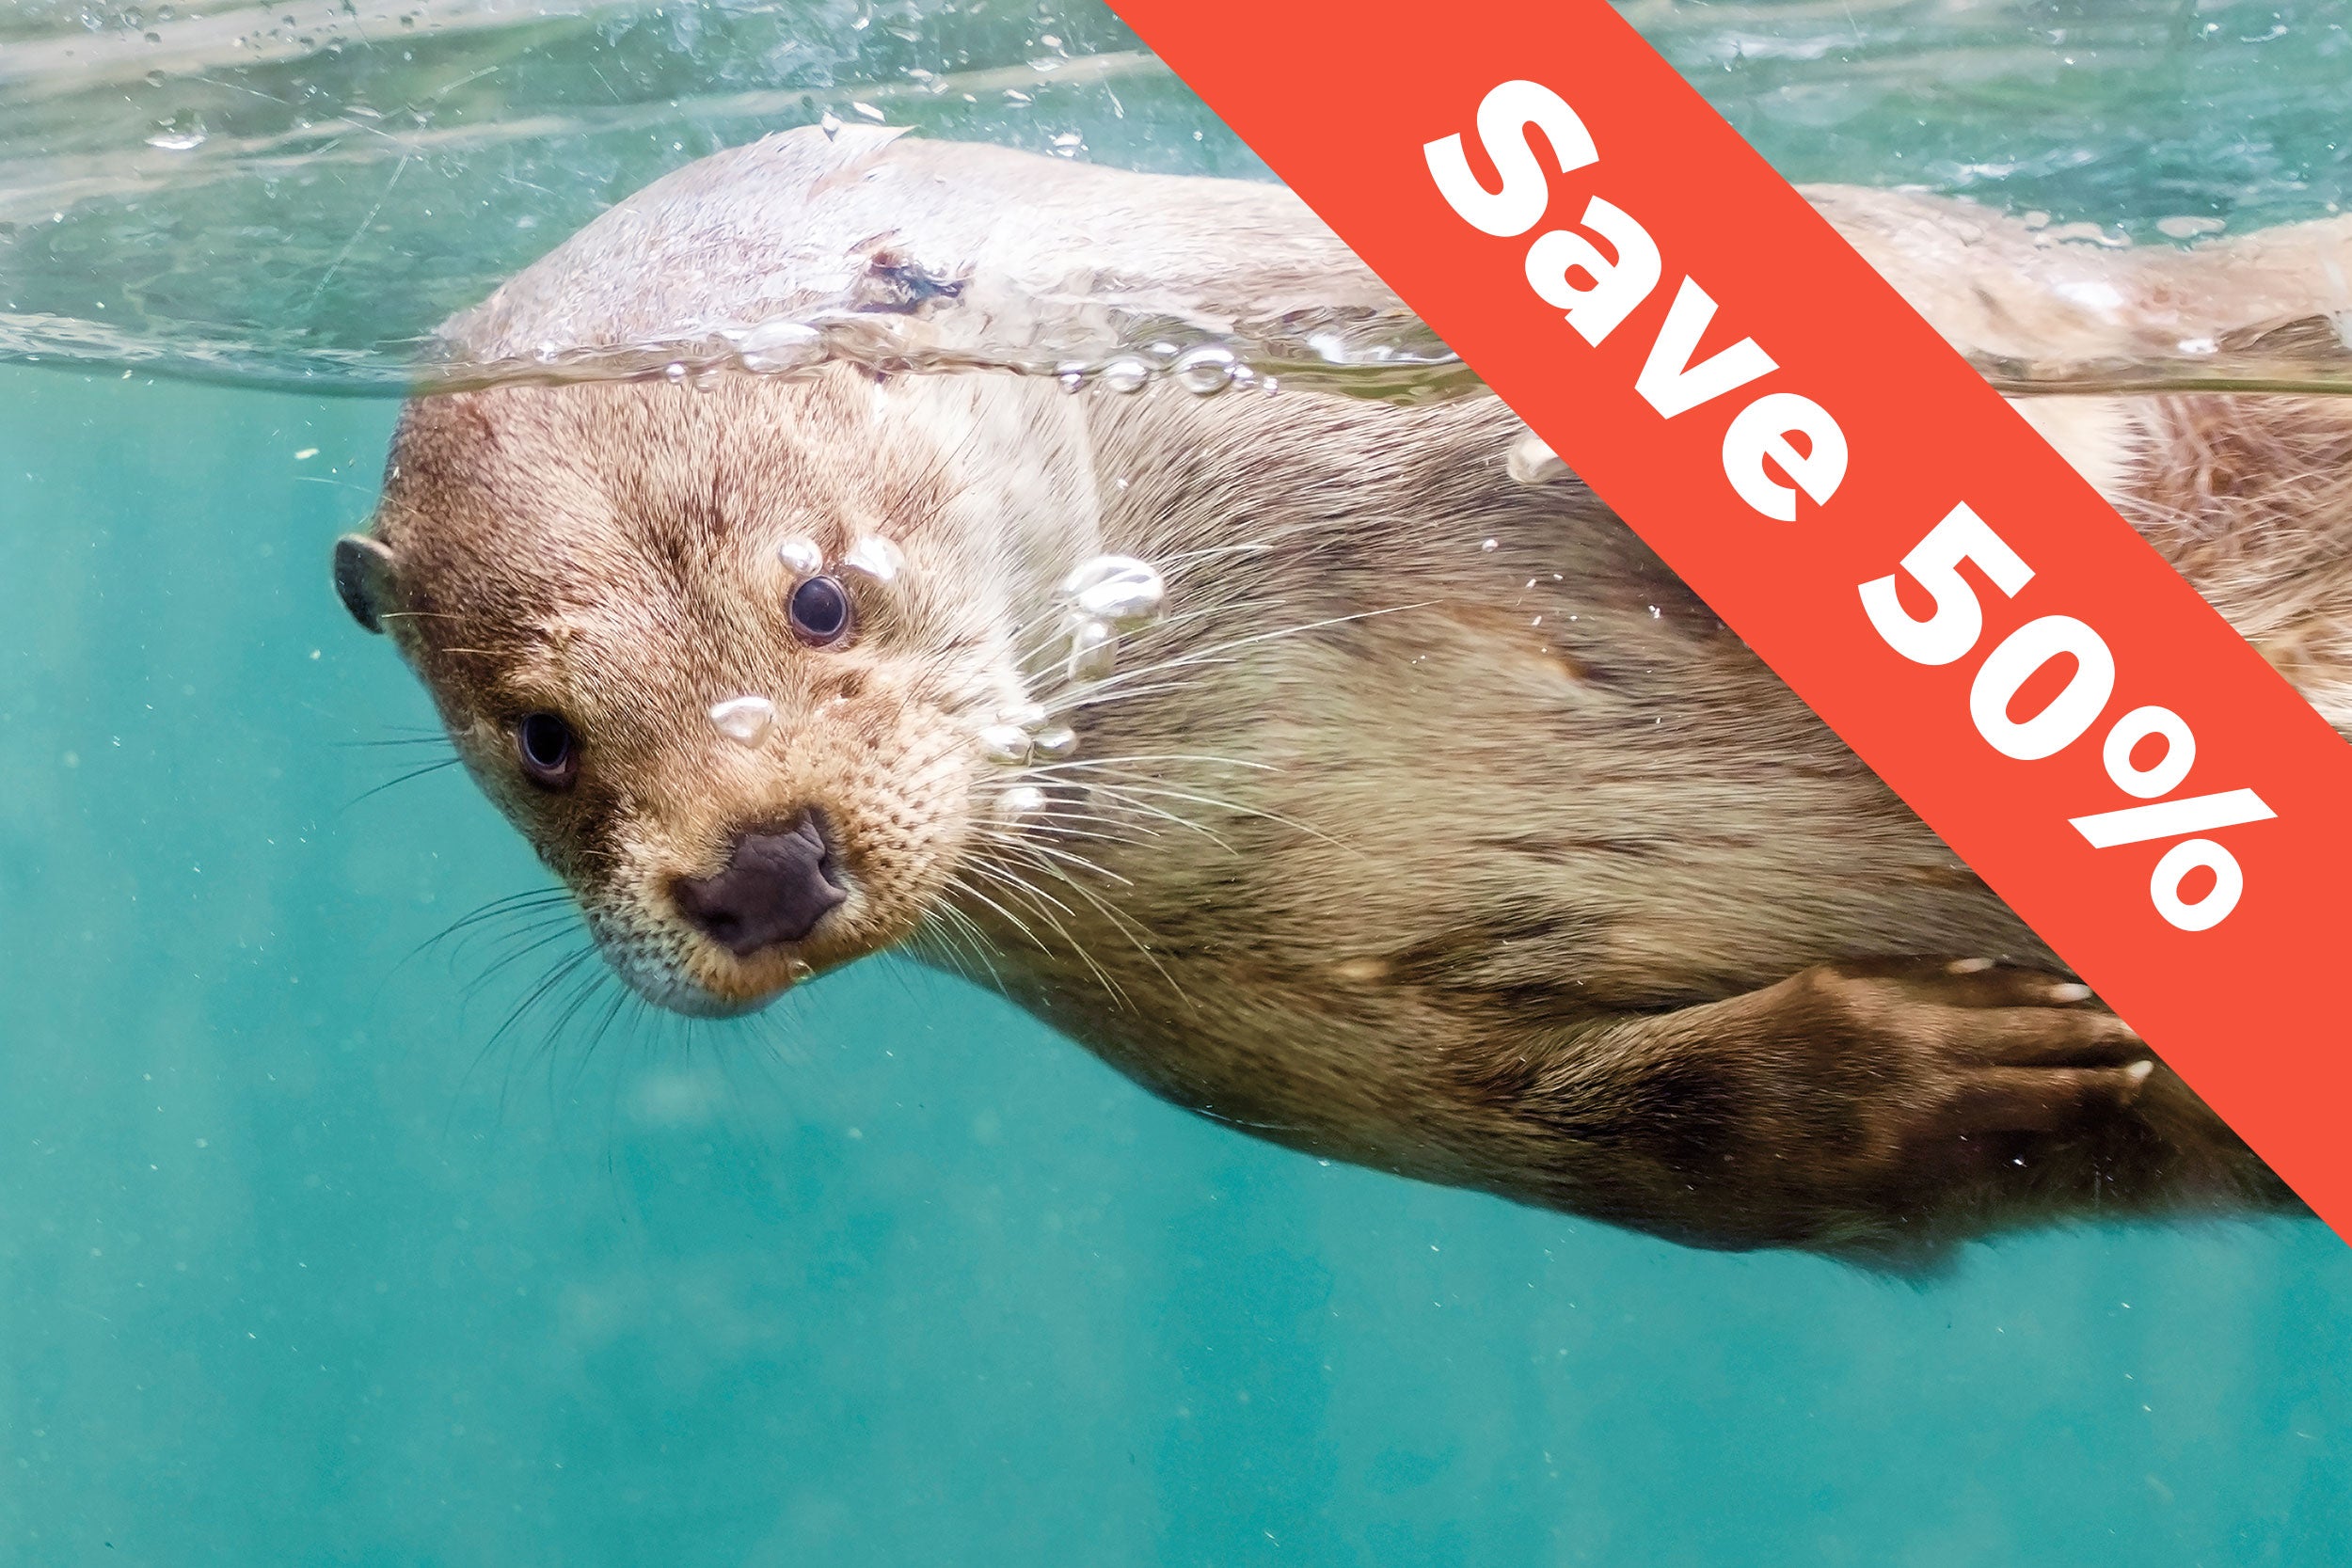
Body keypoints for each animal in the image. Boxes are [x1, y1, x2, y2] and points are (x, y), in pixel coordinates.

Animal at [334, 126, 2352, 1260]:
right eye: (542, 739)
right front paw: (1964, 1064)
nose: (761, 870)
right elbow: (1621, 1138)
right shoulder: (1248, 1038)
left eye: (818, 595)